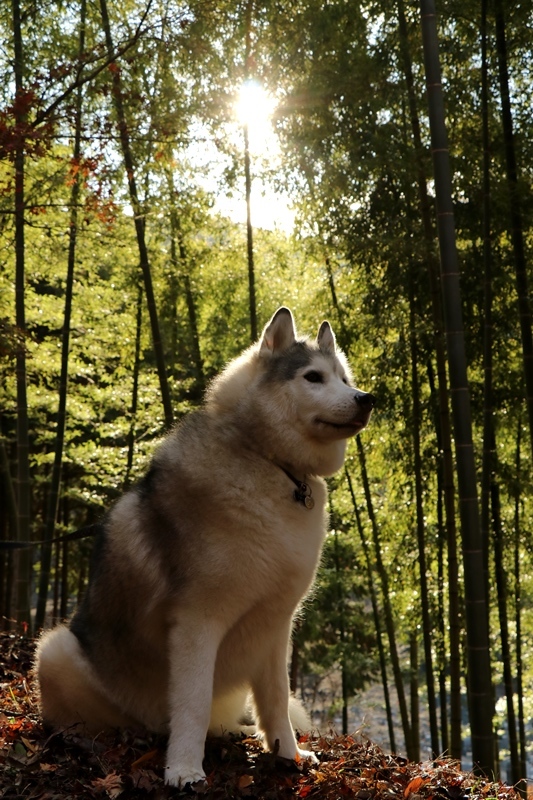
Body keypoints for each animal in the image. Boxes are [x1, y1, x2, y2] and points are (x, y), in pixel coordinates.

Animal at [35, 306, 374, 788]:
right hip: (55, 650)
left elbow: (276, 698)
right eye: (313, 377)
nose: (367, 398)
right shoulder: (198, 622)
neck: (269, 462)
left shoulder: (276, 624)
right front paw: (183, 770)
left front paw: (287, 754)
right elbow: (192, 703)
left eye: (344, 379)